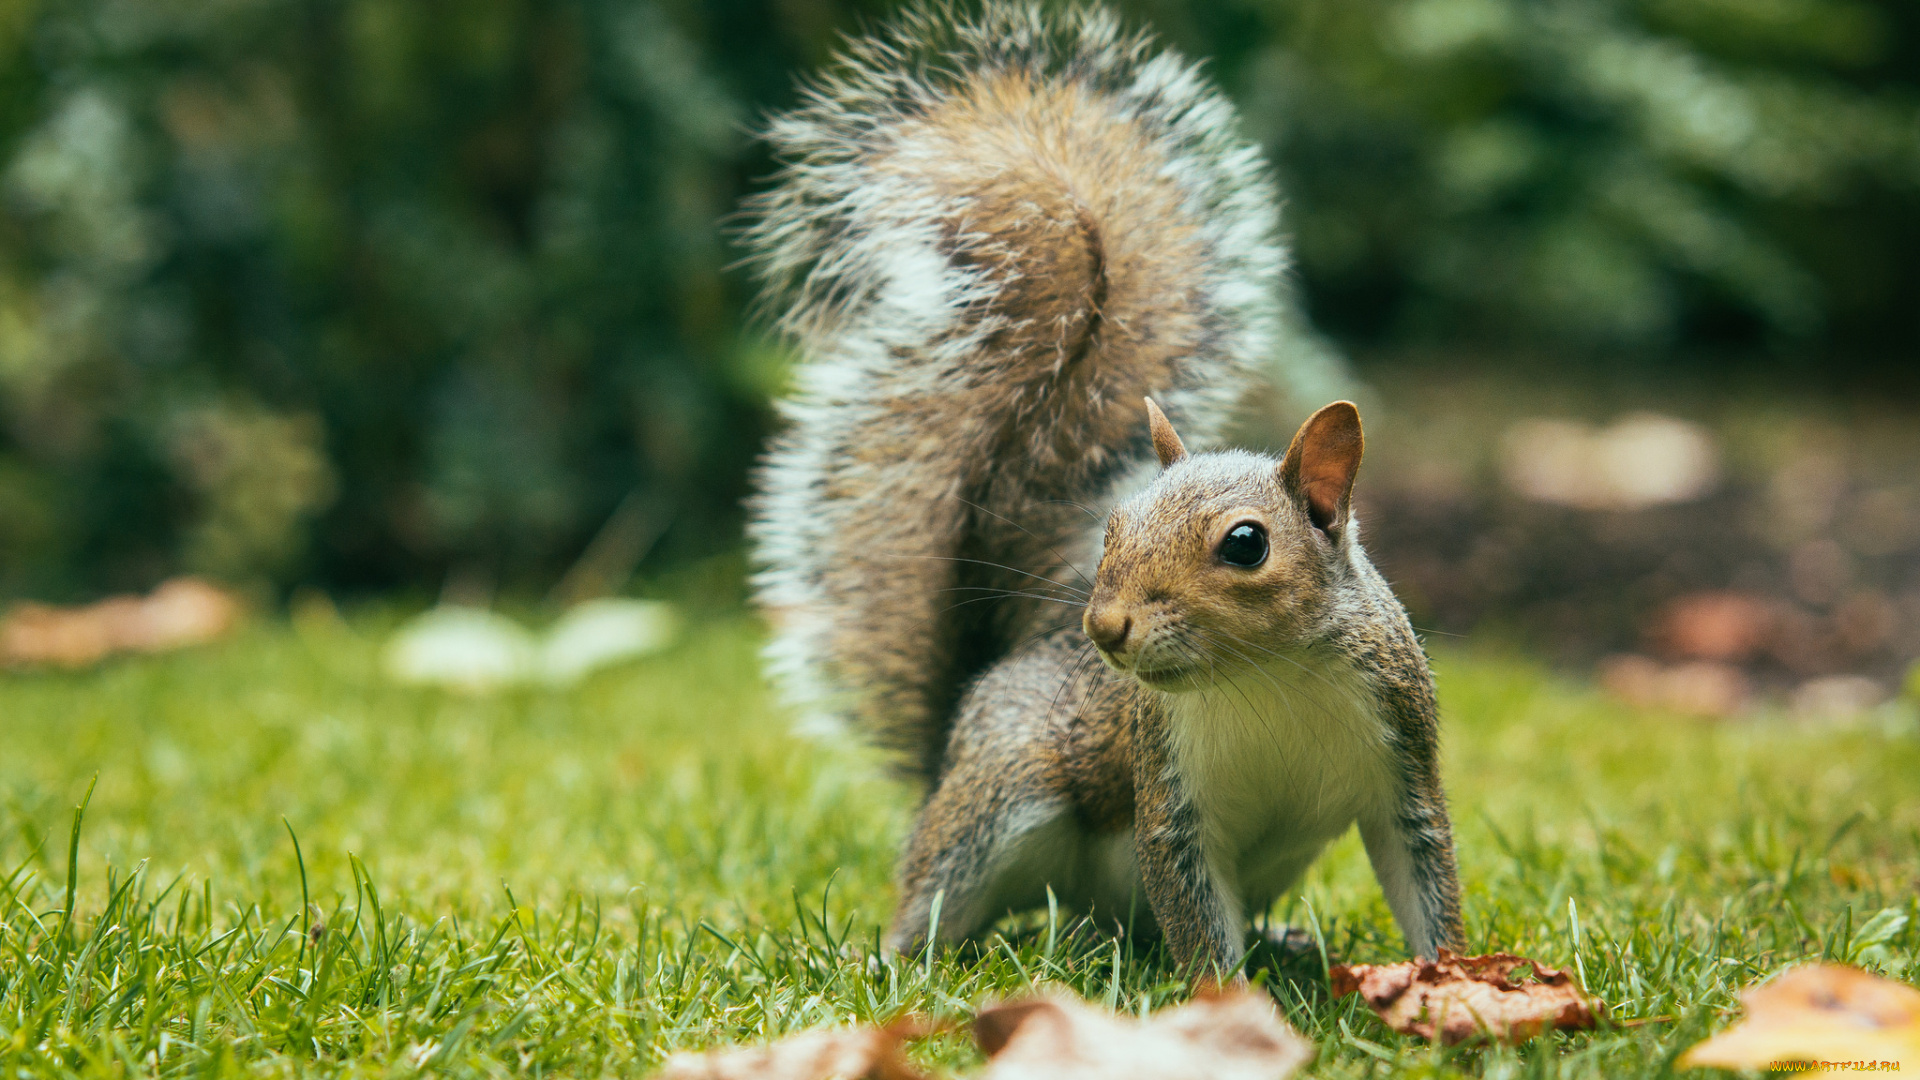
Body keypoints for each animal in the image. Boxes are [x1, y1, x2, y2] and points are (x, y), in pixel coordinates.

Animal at [741, 0, 1459, 976]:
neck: (1267, 676)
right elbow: (1194, 911)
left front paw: (1459, 980)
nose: (1106, 628)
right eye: (1111, 527)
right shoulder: (1169, 798)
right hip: (1004, 792)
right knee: (944, 886)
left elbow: (1425, 878)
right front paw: (1229, 1002)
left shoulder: (1401, 766)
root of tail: (955, 733)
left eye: (1246, 543)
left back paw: (1281, 939)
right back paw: (893, 959)